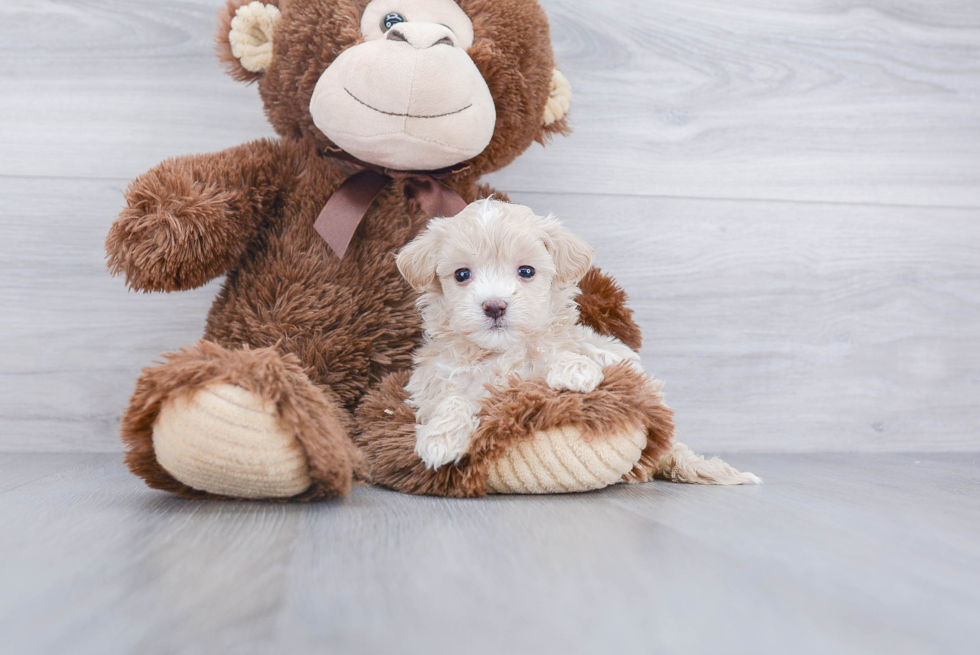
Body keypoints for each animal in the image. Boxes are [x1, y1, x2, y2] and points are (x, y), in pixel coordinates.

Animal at [398, 200, 644, 472]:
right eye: (461, 274)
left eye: (526, 271)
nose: (495, 306)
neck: (501, 351)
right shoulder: (433, 382)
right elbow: (452, 399)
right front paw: (440, 439)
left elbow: (554, 349)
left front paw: (575, 368)